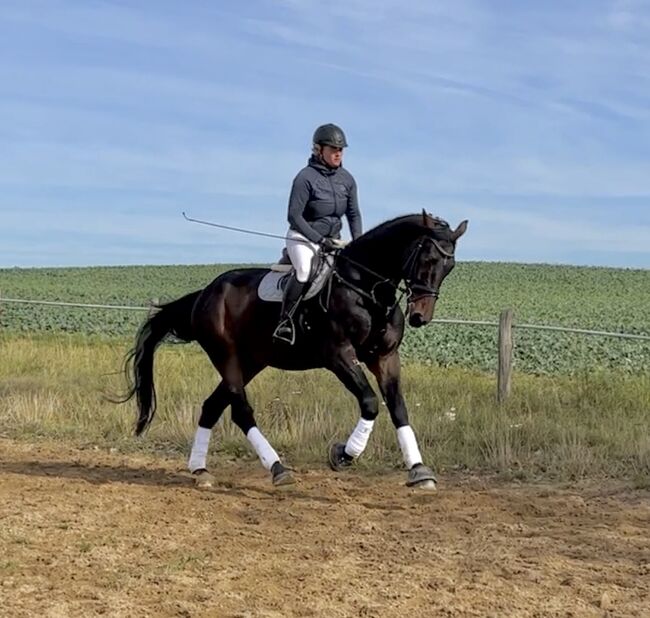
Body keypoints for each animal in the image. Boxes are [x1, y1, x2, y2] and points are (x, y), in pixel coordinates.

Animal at [121, 209, 466, 488]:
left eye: (449, 266)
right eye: (428, 259)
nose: (420, 316)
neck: (365, 289)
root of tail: (204, 293)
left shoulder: (385, 357)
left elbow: (397, 407)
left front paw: (419, 470)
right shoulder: (338, 356)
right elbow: (369, 402)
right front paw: (343, 454)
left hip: (251, 361)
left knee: (212, 407)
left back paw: (200, 470)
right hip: (227, 357)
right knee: (241, 411)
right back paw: (277, 469)